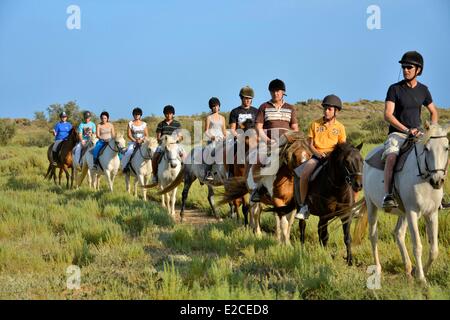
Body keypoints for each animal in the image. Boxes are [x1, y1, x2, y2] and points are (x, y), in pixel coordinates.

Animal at [358, 122, 446, 282]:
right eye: (426, 149)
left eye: (446, 148)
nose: (437, 181)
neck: (423, 178)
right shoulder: (412, 212)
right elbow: (417, 246)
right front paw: (421, 279)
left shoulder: (432, 213)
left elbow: (434, 250)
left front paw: (420, 271)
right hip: (372, 206)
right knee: (373, 235)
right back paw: (378, 268)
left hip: (402, 213)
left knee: (398, 233)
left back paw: (408, 268)